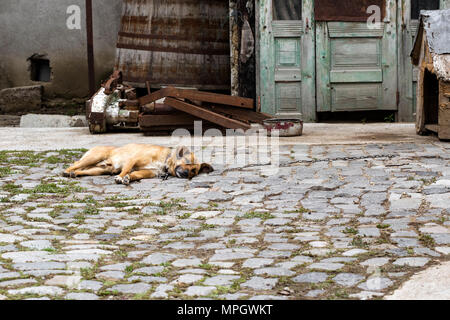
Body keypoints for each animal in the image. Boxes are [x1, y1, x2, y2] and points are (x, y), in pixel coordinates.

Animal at [62, 144, 214, 184]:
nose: (187, 174)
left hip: (98, 170)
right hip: (94, 157)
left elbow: (135, 174)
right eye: (187, 162)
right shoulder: (132, 160)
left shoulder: (148, 172)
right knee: (76, 163)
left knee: (82, 170)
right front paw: (121, 177)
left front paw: (128, 178)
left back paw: (74, 174)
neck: (164, 161)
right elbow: (126, 169)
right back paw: (67, 171)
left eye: (194, 171)